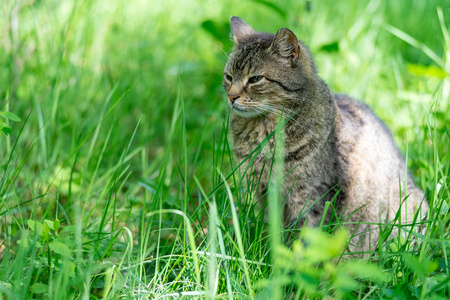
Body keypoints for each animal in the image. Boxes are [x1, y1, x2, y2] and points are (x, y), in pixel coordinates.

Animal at [223, 15, 428, 251]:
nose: (231, 96)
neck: (262, 132)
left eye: (255, 79)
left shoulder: (311, 198)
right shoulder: (263, 194)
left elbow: (307, 240)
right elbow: (273, 234)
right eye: (228, 77)